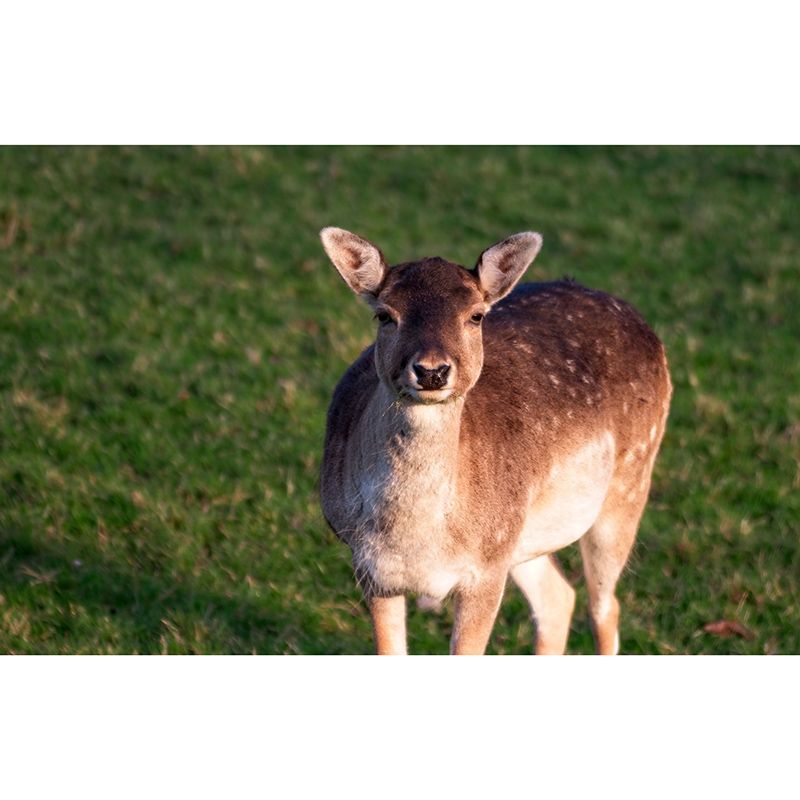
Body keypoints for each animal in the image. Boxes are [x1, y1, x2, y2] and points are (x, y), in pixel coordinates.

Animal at [319, 227, 671, 655]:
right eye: (385, 314)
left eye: (476, 315)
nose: (432, 371)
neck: (415, 540)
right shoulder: (371, 568)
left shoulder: (485, 570)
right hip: (520, 537)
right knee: (558, 598)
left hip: (628, 483)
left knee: (605, 608)